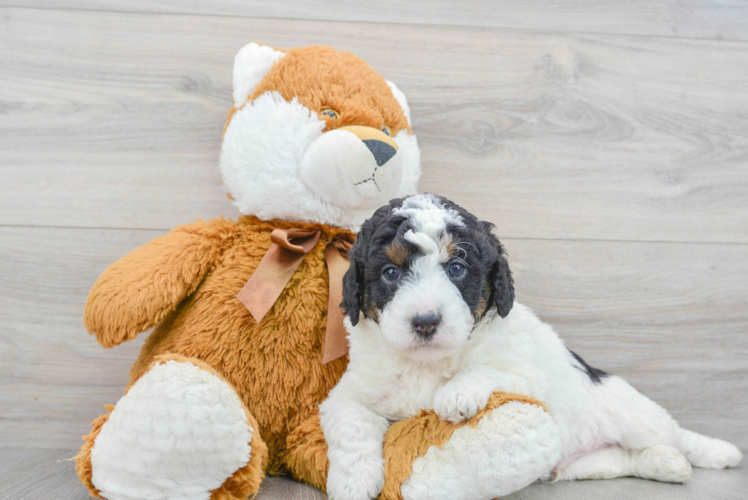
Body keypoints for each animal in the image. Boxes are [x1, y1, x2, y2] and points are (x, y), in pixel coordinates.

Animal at [320, 192, 744, 500]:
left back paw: (711, 453)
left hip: (634, 415)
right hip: (584, 463)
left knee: (672, 432)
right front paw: (354, 482)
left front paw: (456, 393)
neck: (427, 363)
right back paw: (666, 464)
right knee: (624, 459)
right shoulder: (349, 392)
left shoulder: (526, 372)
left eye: (456, 268)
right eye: (390, 273)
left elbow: (488, 368)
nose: (425, 321)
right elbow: (350, 422)